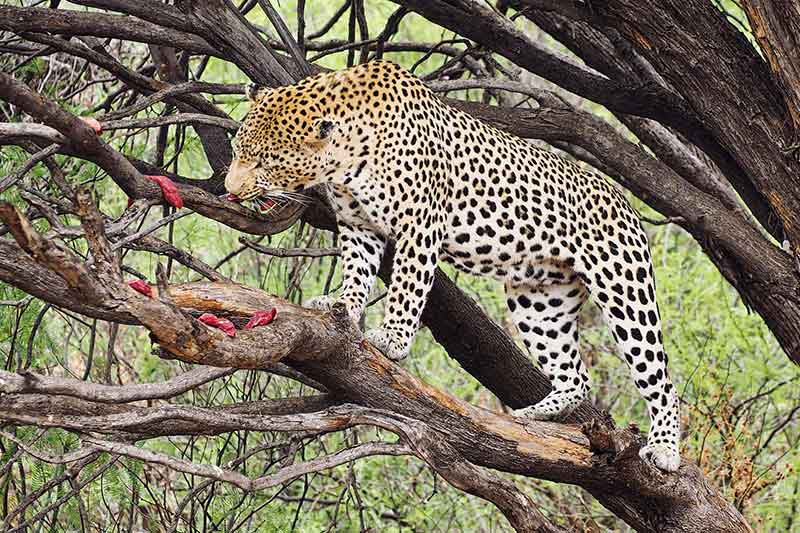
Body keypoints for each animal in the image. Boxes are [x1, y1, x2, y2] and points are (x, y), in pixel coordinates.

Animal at [224, 60, 682, 472]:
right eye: (235, 151)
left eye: (266, 161)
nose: (230, 191)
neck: (345, 160)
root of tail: (625, 201)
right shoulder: (358, 225)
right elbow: (356, 272)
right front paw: (344, 306)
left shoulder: (420, 222)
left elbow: (407, 285)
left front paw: (391, 339)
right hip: (539, 301)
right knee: (576, 377)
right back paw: (530, 417)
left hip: (623, 288)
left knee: (661, 381)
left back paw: (664, 450)